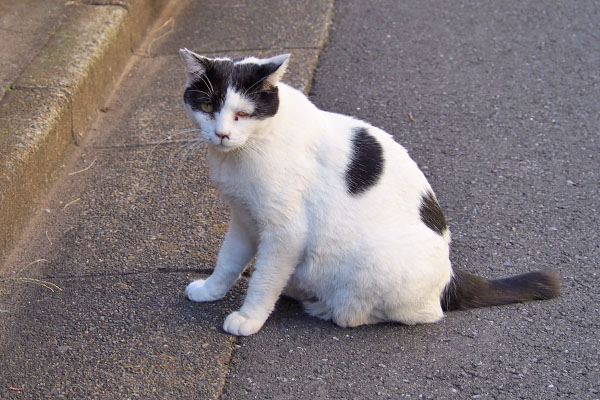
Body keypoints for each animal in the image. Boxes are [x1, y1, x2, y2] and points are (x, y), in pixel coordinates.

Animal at [176, 50, 560, 338]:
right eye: (208, 108)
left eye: (243, 114)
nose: (222, 134)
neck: (248, 148)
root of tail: (449, 277)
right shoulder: (244, 218)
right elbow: (228, 260)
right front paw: (210, 290)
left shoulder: (285, 232)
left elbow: (263, 281)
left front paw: (249, 318)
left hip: (375, 262)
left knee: (408, 314)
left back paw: (325, 306)